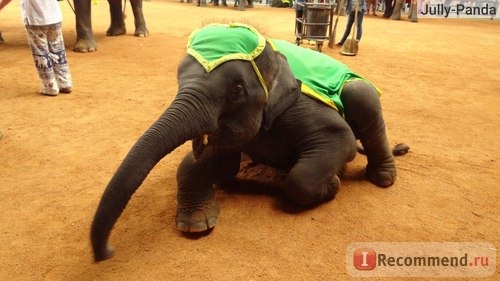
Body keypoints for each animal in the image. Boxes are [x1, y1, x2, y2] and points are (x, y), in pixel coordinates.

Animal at [90, 23, 404, 260]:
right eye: (178, 80)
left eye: (236, 90)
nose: (107, 251)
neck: (275, 58)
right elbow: (211, 163)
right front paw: (196, 227)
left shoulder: (300, 107)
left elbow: (337, 142)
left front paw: (333, 184)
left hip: (358, 90)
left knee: (360, 95)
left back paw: (383, 177)